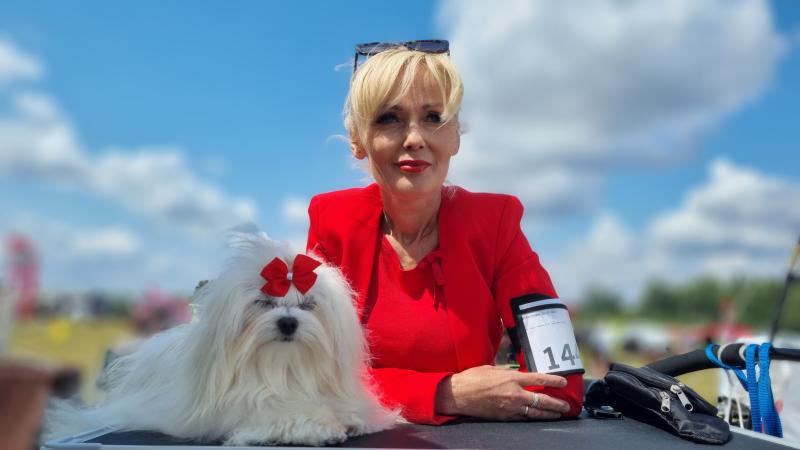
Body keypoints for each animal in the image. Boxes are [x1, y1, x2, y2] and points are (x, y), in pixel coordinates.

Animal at [47, 232, 397, 446]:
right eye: (263, 302)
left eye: (308, 304)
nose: (288, 322)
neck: (283, 371)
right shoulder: (243, 408)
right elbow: (281, 415)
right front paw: (319, 424)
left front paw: (350, 417)